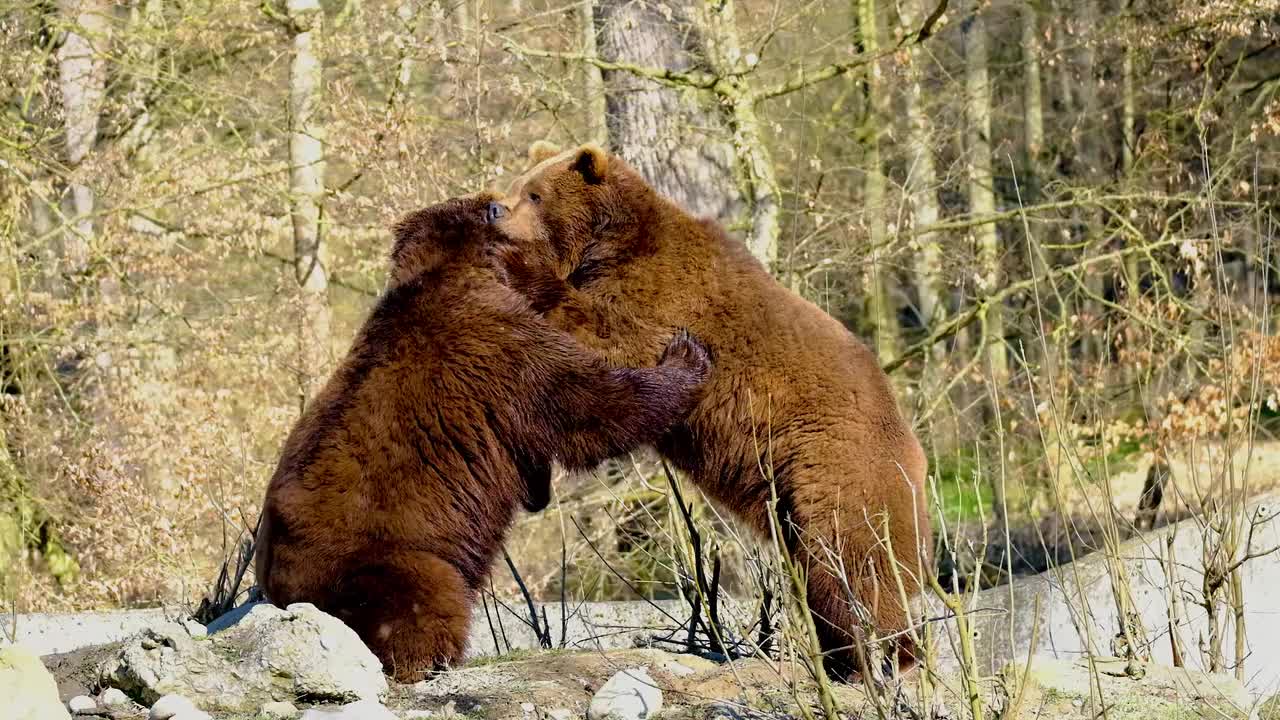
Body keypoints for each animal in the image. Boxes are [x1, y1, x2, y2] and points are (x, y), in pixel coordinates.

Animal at [249, 193, 711, 681]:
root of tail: (282, 595)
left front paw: (537, 487)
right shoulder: (499, 342)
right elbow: (588, 403)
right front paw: (686, 357)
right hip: (385, 557)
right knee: (429, 592)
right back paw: (430, 657)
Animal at [486, 142, 931, 676]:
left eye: (534, 193)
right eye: (518, 183)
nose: (493, 209)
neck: (607, 247)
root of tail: (915, 453)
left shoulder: (664, 297)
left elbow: (615, 342)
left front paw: (518, 268)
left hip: (838, 468)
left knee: (849, 559)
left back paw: (876, 655)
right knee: (823, 574)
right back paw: (846, 655)